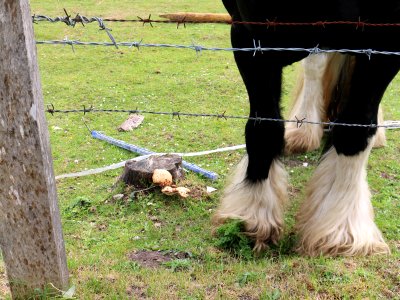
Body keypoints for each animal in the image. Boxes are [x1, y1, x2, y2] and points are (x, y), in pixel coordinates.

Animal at [212, 1, 400, 256]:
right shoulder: (249, 35)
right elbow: (263, 129)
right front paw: (251, 216)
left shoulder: (385, 42)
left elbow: (355, 131)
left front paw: (340, 229)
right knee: (315, 66)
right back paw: (302, 132)